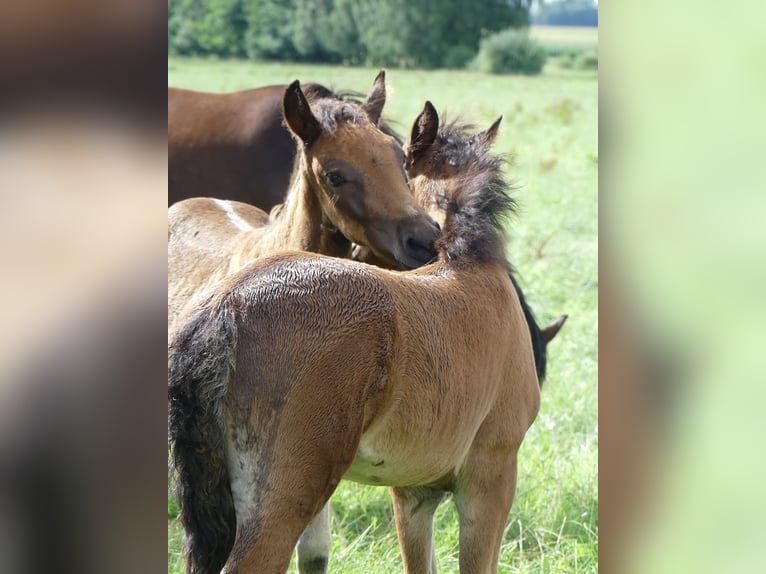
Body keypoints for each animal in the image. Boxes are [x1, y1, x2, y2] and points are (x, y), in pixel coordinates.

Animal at [168, 104, 544, 574]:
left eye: (399, 167)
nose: (417, 241)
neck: (468, 264)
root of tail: (227, 305)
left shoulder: (413, 492)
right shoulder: (490, 475)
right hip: (282, 501)